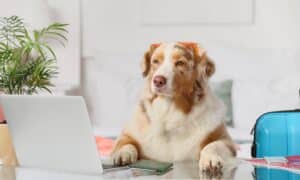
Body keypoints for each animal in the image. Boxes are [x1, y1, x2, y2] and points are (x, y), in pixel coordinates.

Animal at [110, 41, 237, 173]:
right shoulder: (128, 134)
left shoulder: (226, 141)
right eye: (155, 61)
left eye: (180, 63)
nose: (158, 80)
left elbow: (212, 145)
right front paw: (122, 154)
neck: (169, 111)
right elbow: (125, 143)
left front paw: (210, 159)